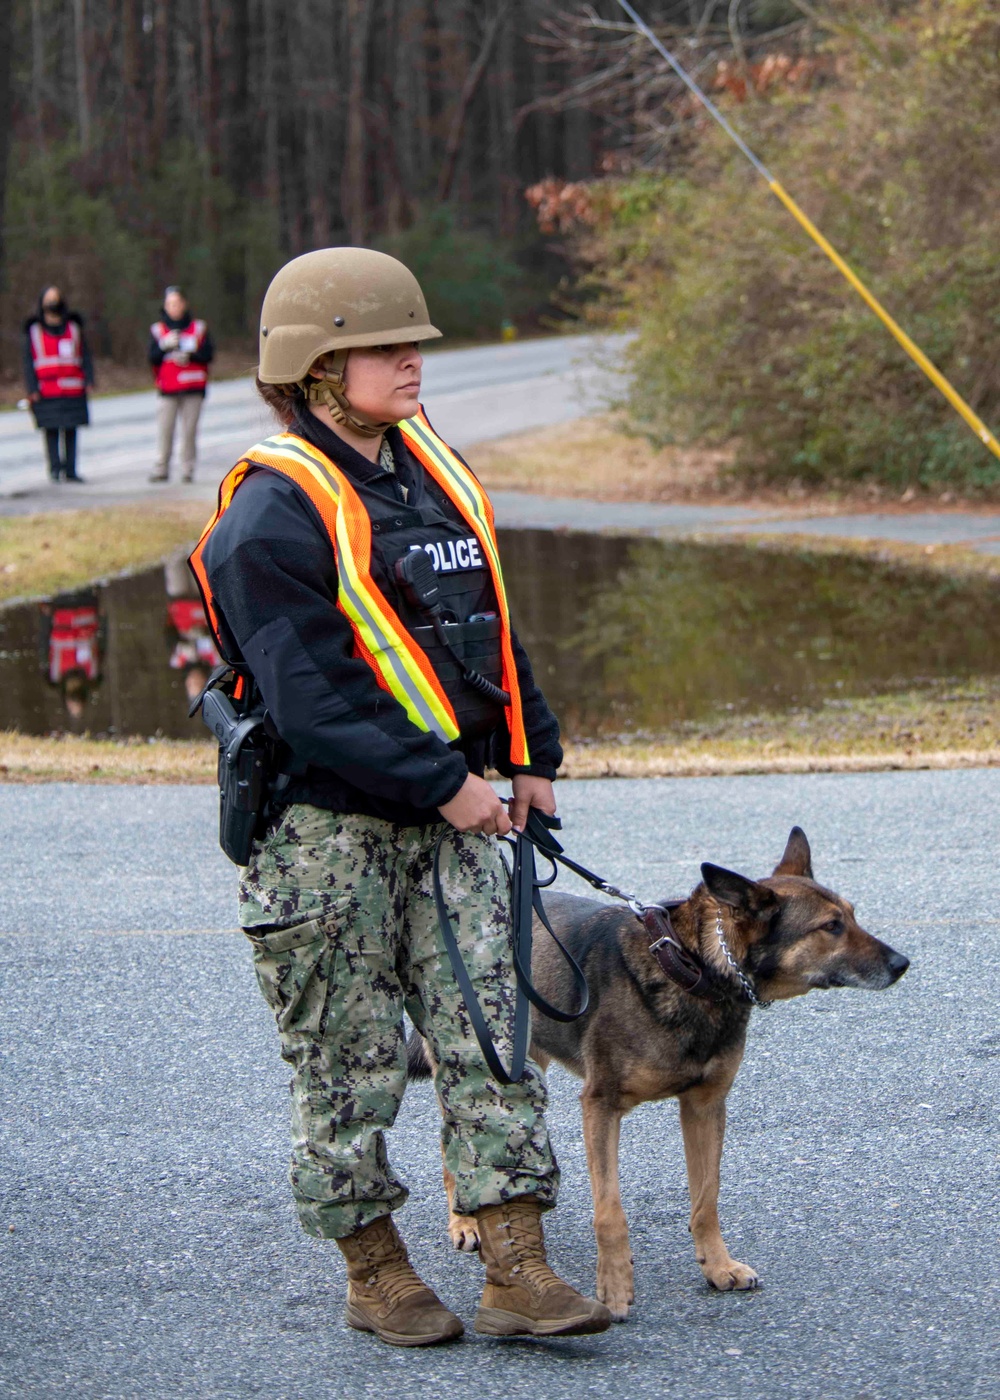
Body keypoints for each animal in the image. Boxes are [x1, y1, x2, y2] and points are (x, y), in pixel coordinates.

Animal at [408, 828, 907, 1321]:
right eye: (831, 927)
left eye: (852, 916)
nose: (902, 964)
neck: (692, 966)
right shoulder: (601, 1106)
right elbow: (610, 1211)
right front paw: (613, 1288)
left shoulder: (705, 1107)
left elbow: (706, 1199)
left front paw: (718, 1266)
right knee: (453, 1141)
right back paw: (465, 1220)